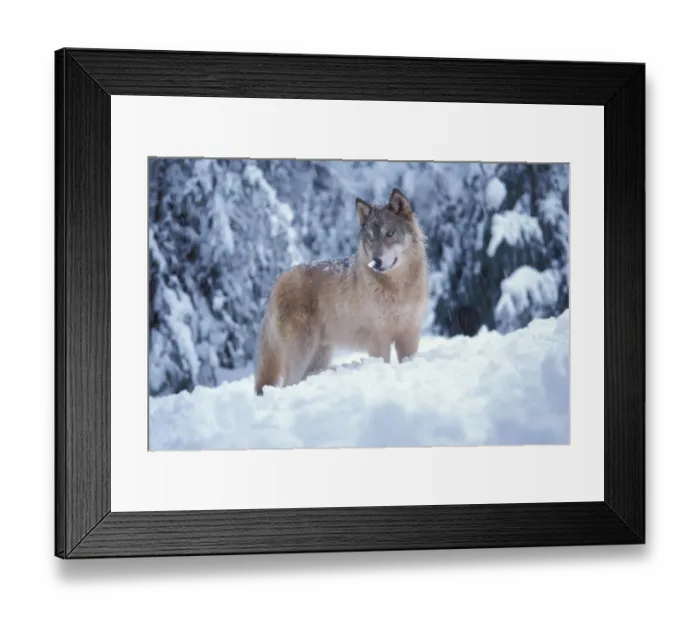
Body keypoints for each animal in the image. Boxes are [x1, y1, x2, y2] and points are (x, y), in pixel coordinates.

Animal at [254, 188, 429, 396]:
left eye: (390, 233)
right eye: (370, 239)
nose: (376, 262)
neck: (397, 287)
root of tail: (278, 280)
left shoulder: (409, 335)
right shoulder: (378, 340)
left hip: (318, 359)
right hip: (301, 355)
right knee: (286, 384)